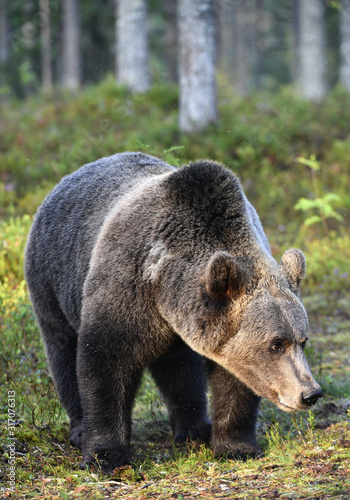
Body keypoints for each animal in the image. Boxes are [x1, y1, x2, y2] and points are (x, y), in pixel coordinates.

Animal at [24, 152, 322, 472]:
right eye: (276, 344)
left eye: (303, 340)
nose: (310, 393)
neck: (164, 286)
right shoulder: (127, 288)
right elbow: (105, 364)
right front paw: (106, 455)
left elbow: (235, 380)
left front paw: (236, 446)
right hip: (52, 280)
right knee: (63, 353)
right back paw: (80, 429)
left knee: (180, 370)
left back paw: (195, 428)